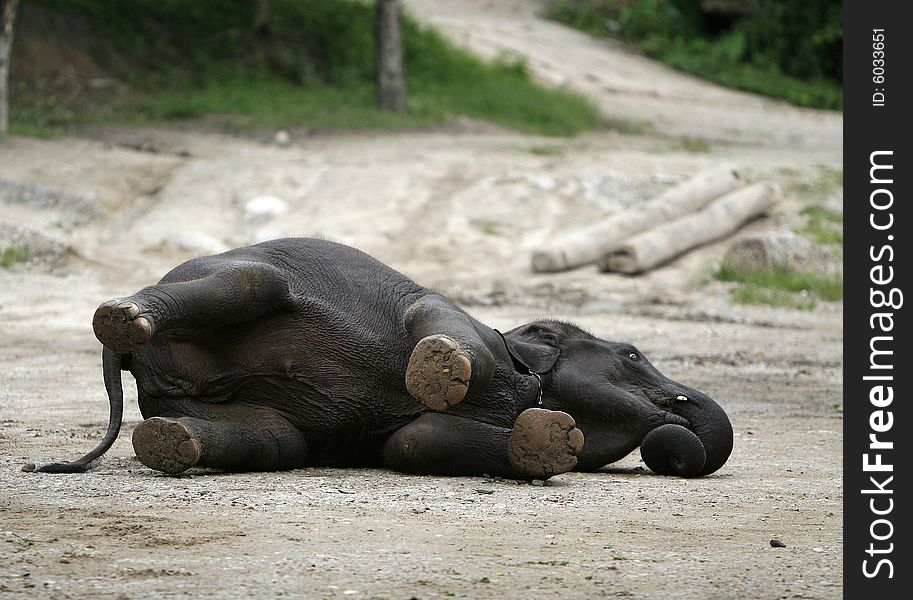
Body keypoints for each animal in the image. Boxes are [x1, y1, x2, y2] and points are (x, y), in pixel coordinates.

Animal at [37, 238, 732, 478]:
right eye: (633, 354)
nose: (676, 443)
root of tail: (128, 356)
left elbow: (414, 444)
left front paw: (546, 442)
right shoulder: (454, 315)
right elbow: (431, 325)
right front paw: (438, 370)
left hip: (197, 399)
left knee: (277, 441)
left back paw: (170, 443)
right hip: (229, 278)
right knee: (253, 283)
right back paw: (121, 318)